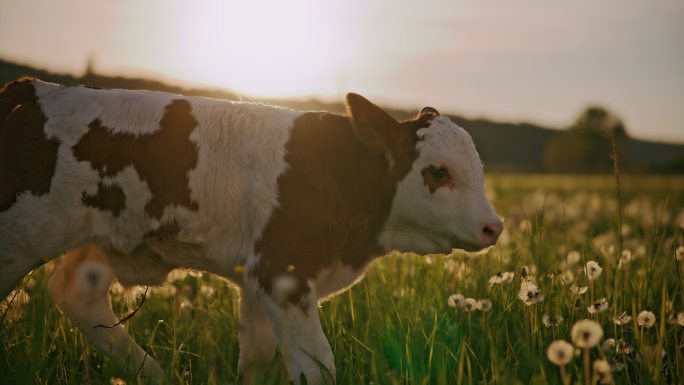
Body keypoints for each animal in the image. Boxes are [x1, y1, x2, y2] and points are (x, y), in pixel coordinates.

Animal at [0, 79, 502, 384]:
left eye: (477, 170)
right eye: (439, 172)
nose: (492, 227)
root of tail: (31, 89)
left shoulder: (260, 283)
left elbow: (260, 364)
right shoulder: (283, 274)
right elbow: (316, 364)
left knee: (77, 294)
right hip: (21, 237)